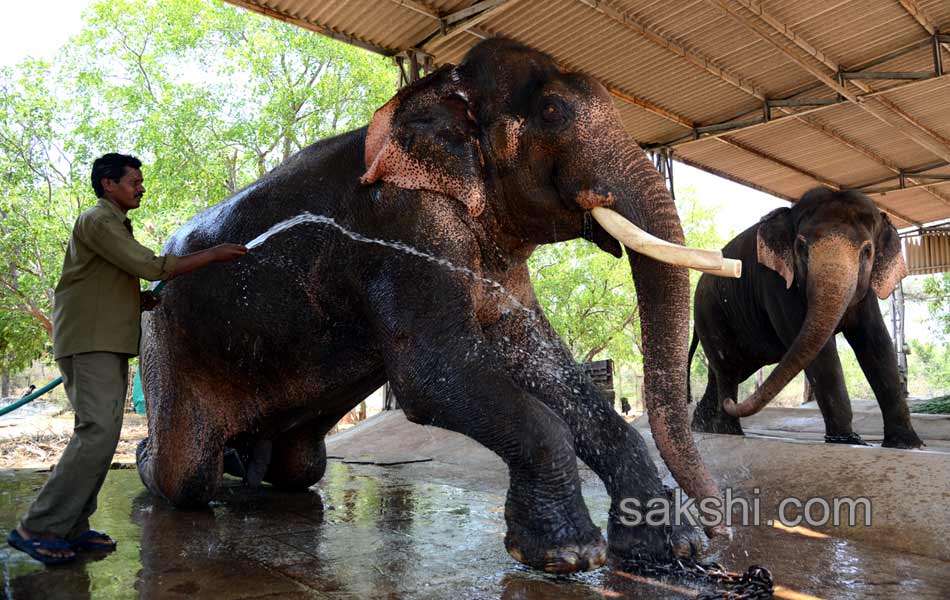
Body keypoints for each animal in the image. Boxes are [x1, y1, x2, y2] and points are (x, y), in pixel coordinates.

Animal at [138, 37, 724, 572]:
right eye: (553, 112)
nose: (720, 527)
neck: (439, 87)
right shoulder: (407, 224)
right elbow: (434, 373)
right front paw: (569, 555)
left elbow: (544, 366)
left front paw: (674, 549)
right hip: (163, 343)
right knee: (186, 475)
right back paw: (159, 465)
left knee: (301, 466)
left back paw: (243, 465)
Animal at [688, 188, 924, 450]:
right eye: (801, 247)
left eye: (867, 251)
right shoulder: (776, 285)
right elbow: (823, 355)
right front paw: (846, 441)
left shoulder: (866, 295)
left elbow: (877, 345)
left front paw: (908, 444)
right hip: (710, 314)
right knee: (728, 368)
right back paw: (728, 429)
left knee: (725, 370)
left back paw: (705, 425)